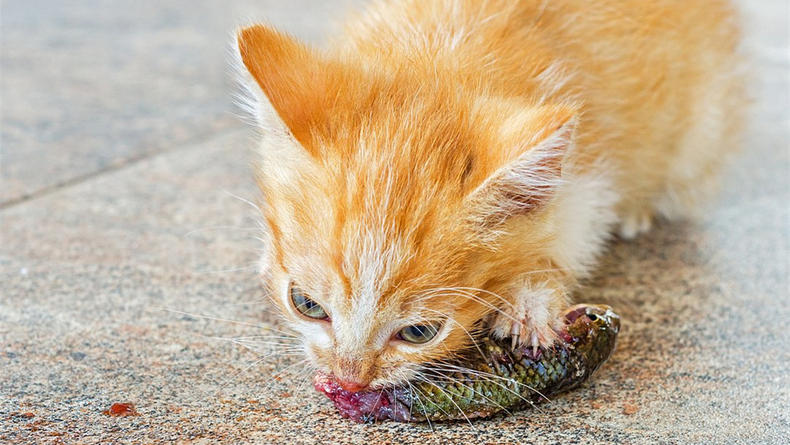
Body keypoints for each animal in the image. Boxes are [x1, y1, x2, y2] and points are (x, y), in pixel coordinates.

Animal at [232, 0, 744, 390]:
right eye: (305, 304)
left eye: (418, 332)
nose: (349, 381)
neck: (437, 53)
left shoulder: (590, 169)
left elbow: (573, 231)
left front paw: (529, 300)